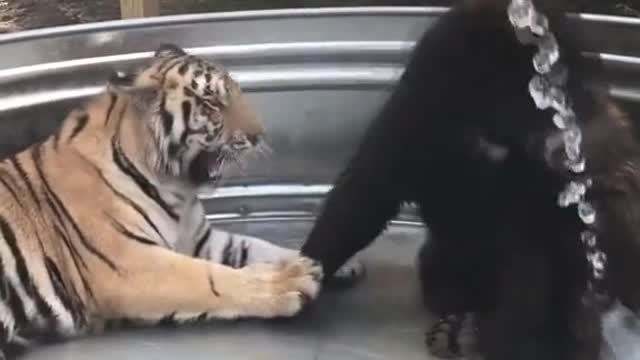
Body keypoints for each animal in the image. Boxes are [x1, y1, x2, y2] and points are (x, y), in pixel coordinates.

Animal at [0, 43, 362, 358]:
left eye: (237, 92)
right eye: (213, 104)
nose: (259, 135)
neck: (178, 191)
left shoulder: (200, 239)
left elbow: (258, 246)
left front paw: (329, 260)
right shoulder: (129, 264)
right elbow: (209, 278)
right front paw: (287, 283)